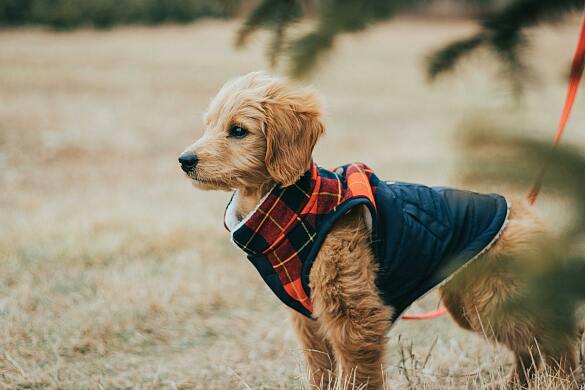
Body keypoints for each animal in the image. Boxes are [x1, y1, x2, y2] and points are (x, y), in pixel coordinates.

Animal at [179, 71, 580, 388]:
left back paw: (562, 381)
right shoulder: (309, 319)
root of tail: (524, 208)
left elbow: (358, 374)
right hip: (475, 302)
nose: (185, 160)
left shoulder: (354, 313)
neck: (297, 207)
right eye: (209, 124)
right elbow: (321, 370)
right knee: (529, 347)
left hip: (494, 298)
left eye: (238, 130)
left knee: (554, 337)